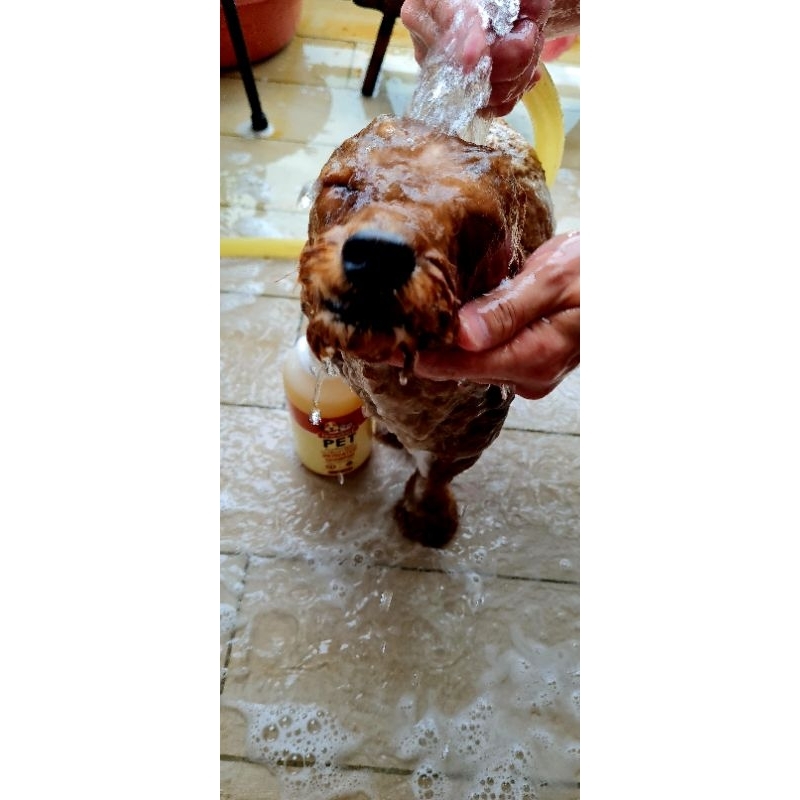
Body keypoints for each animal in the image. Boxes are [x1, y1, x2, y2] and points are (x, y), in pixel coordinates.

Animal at [299, 114, 554, 547]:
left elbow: (434, 477)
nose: (378, 254)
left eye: (477, 222)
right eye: (341, 186)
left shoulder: (468, 436)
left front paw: (426, 517)